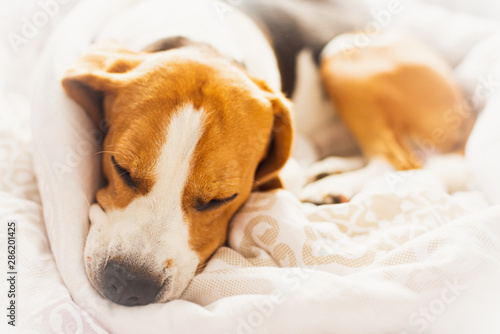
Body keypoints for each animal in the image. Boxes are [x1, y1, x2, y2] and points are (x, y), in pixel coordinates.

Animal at [61, 0, 472, 306]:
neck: (202, 40)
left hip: (344, 53)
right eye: (120, 168)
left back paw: (337, 185)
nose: (131, 284)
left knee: (401, 160)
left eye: (220, 199)